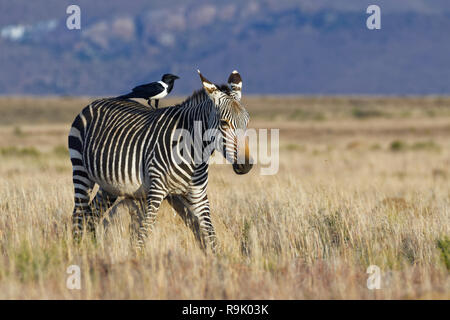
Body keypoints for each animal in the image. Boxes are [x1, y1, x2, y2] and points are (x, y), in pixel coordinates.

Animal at [68, 70, 251, 252]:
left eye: (247, 122)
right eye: (224, 123)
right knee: (79, 213)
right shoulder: (157, 190)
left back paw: (92, 248)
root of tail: (96, 101)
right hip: (81, 170)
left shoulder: (198, 194)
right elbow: (145, 230)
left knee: (92, 214)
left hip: (110, 186)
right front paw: (137, 256)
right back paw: (77, 249)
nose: (246, 165)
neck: (194, 152)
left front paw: (218, 257)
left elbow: (211, 233)